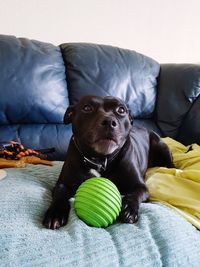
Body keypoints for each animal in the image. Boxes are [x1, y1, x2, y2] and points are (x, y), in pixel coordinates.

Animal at [42, 95, 173, 229]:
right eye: (87, 108)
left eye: (121, 110)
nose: (109, 122)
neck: (100, 160)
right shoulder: (63, 184)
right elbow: (60, 195)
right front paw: (55, 213)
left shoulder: (140, 186)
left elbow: (134, 194)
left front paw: (129, 210)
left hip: (161, 145)